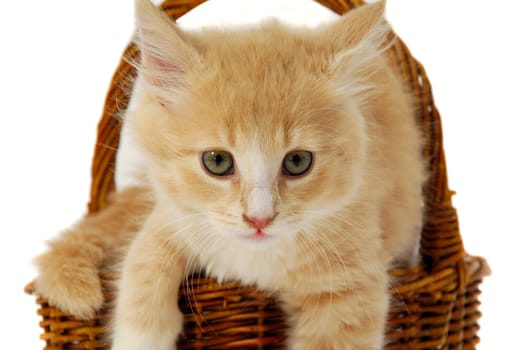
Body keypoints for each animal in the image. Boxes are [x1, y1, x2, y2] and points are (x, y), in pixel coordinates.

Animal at [35, 0, 424, 348]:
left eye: (298, 161)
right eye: (217, 162)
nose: (259, 219)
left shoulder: (353, 281)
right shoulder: (171, 217)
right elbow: (140, 268)